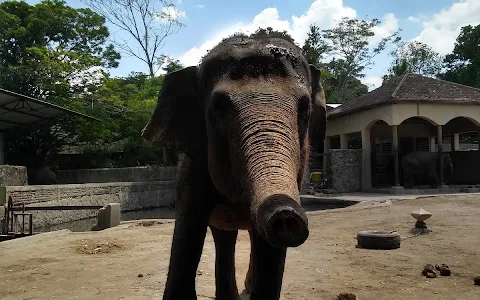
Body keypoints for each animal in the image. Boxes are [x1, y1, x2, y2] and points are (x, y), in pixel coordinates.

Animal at [141, 35, 328, 300]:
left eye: (304, 108)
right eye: (219, 107)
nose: (286, 215)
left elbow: (270, 256)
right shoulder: (192, 170)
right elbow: (188, 230)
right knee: (224, 237)